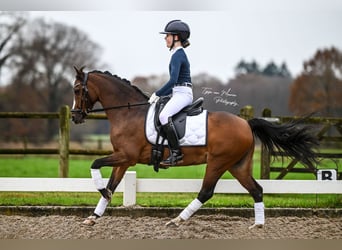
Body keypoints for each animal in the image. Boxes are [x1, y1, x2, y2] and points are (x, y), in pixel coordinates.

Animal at [69, 66, 318, 229]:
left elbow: (95, 164)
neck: (128, 113)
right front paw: (94, 215)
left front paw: (102, 191)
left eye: (77, 89)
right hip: (238, 165)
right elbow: (112, 182)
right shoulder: (123, 159)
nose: (74, 117)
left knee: (206, 192)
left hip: (218, 162)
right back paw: (258, 225)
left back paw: (177, 220)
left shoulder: (125, 156)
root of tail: (246, 123)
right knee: (256, 190)